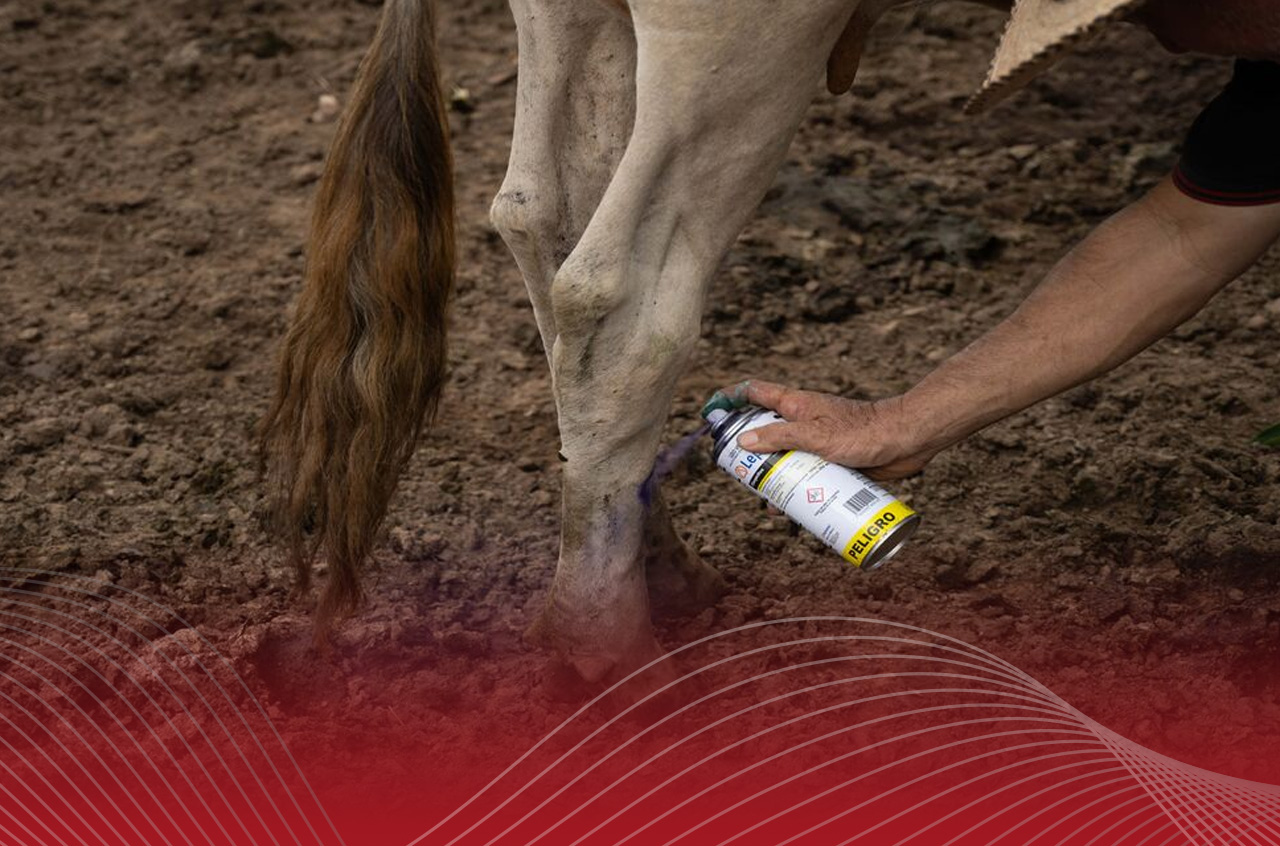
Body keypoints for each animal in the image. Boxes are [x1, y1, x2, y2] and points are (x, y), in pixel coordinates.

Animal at [259, 0, 950, 684]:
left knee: (541, 222)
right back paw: (608, 655)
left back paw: (664, 574)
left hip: (573, 27)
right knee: (620, 303)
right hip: (742, 53)